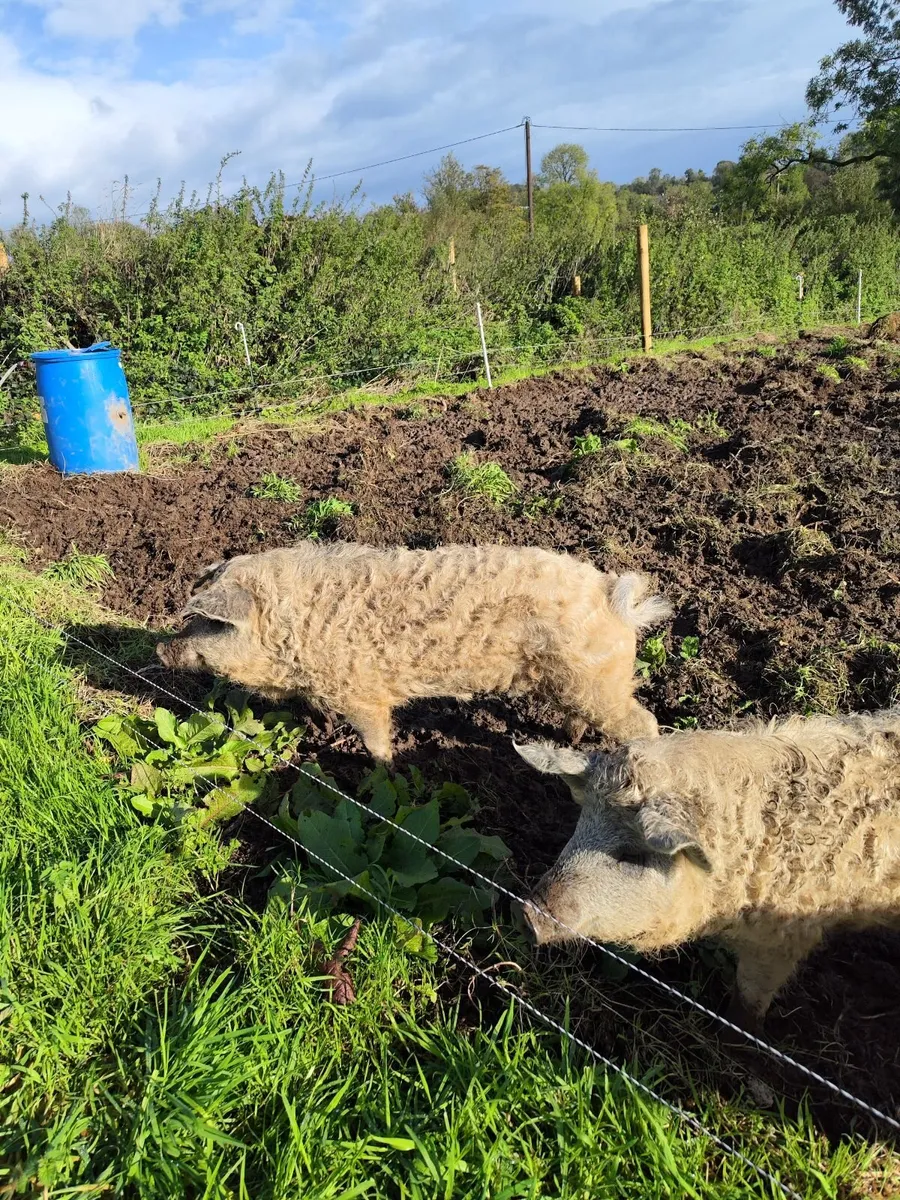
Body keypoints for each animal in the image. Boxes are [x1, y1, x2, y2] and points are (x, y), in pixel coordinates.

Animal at [156, 541, 671, 762]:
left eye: (211, 622)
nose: (162, 648)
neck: (294, 635)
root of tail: (614, 596)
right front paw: (320, 728)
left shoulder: (362, 694)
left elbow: (375, 739)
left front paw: (381, 774)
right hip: (572, 681)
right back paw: (571, 740)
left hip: (600, 682)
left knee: (644, 723)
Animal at [516, 709, 900, 1028]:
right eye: (581, 825)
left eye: (632, 855)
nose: (528, 913)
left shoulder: (785, 935)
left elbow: (750, 996)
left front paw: (736, 1037)